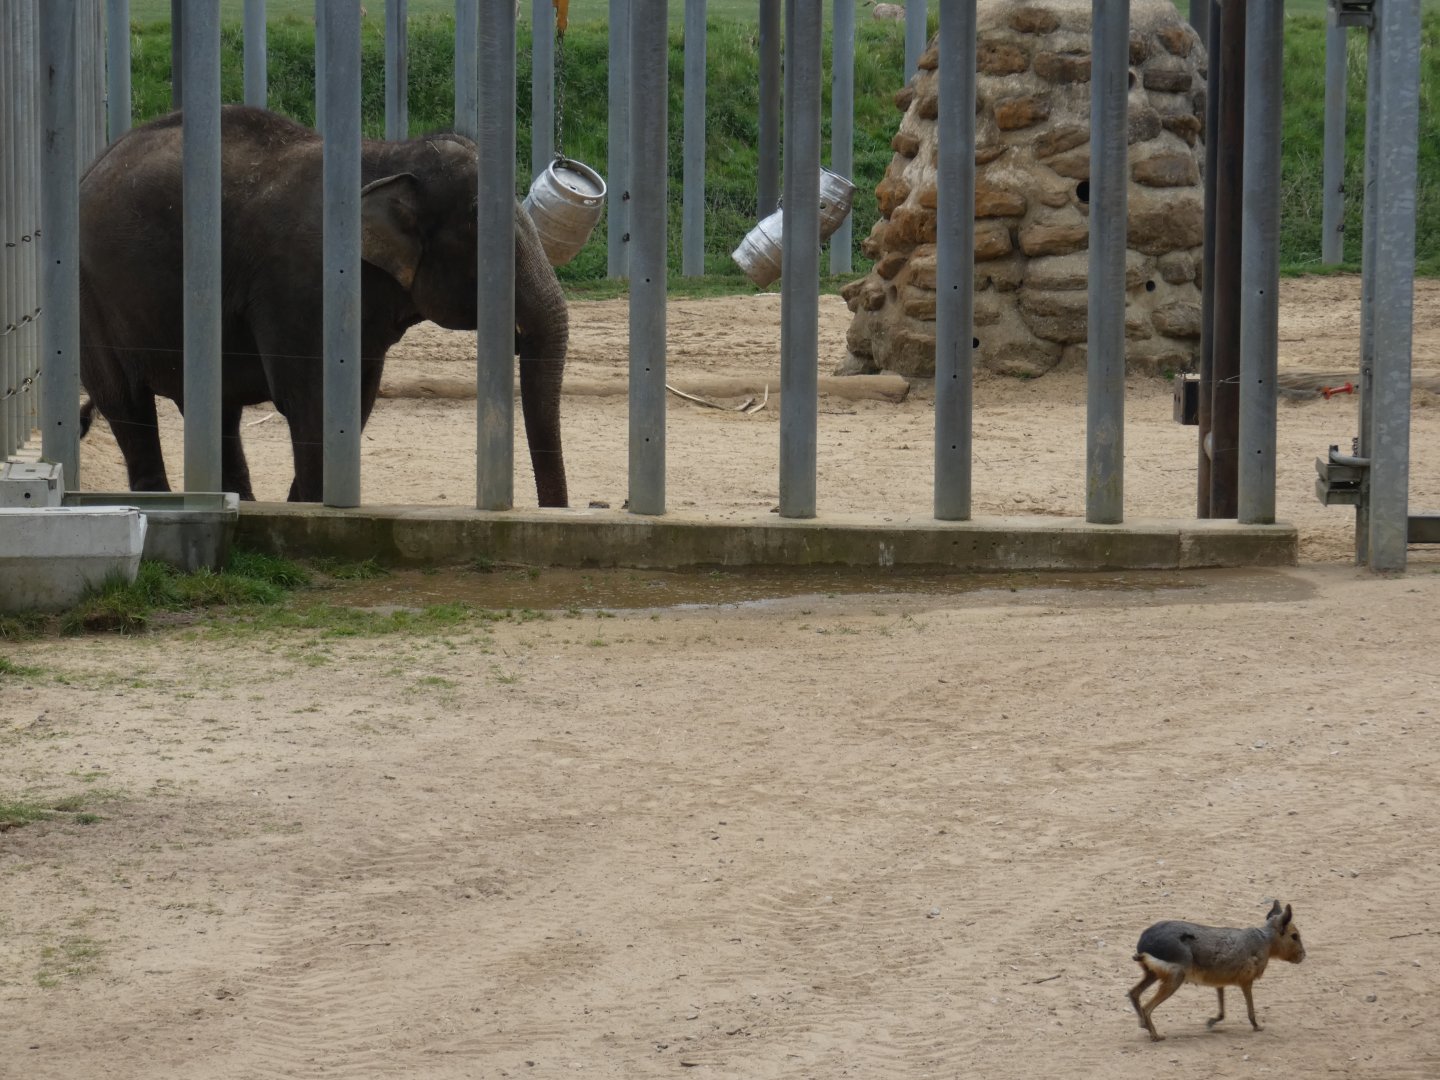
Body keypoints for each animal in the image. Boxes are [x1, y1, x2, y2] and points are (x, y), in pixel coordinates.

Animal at [78, 104, 568, 506]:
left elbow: (357, 400)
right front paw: (314, 508)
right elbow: (311, 404)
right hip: (90, 299)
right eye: (483, 238)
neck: (389, 159)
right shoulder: (300, 287)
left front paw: (303, 505)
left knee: (217, 411)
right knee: (126, 403)